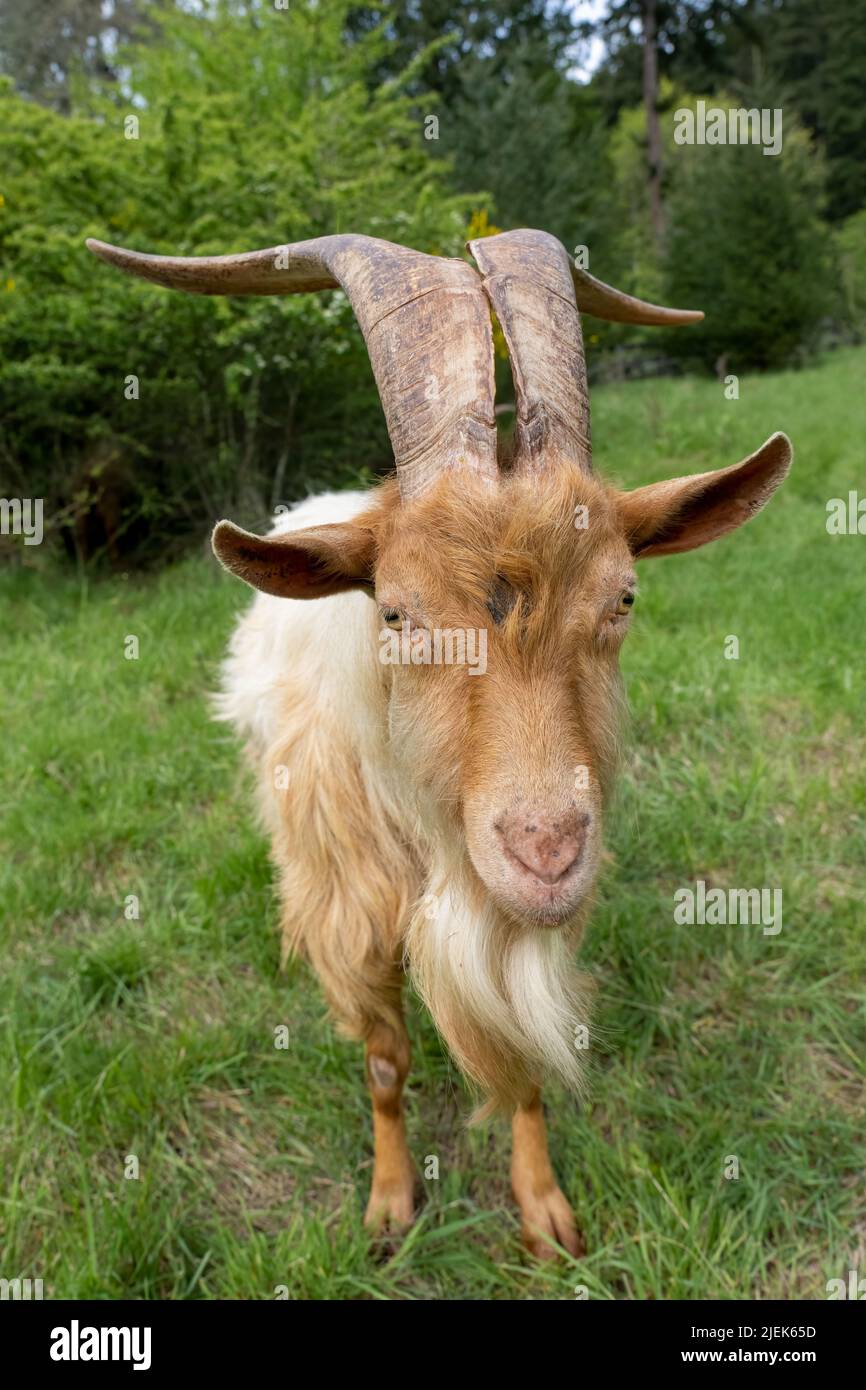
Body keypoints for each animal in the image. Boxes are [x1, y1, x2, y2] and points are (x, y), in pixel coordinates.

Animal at [88, 230, 795, 1262]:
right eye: (396, 612)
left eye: (622, 597)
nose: (547, 851)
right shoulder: (350, 912)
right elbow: (385, 1061)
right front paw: (388, 1208)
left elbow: (523, 1066)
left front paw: (543, 1211)